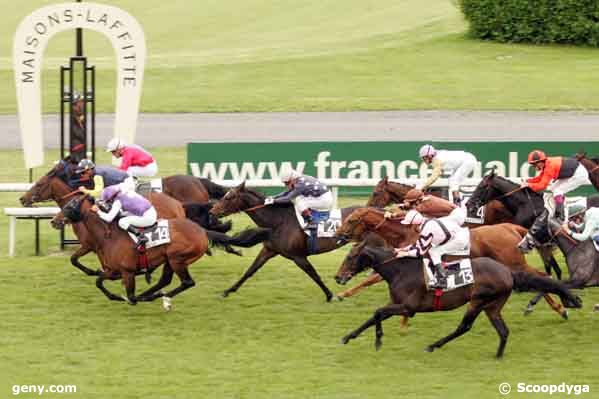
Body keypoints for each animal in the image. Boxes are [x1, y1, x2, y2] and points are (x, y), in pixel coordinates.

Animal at [19, 161, 185, 276]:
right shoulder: (97, 246)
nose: (22, 199)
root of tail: (177, 204)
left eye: (39, 184)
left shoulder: (90, 245)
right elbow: (78, 260)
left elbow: (75, 259)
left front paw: (94, 272)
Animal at [211, 183, 360, 302]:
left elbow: (314, 275)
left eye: (228, 197)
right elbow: (250, 271)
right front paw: (227, 291)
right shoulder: (269, 250)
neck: (279, 221)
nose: (212, 211)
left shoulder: (298, 257)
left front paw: (330, 295)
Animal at [336, 208, 568, 320]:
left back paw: (557, 308)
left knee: (542, 275)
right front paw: (343, 292)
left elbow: (370, 279)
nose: (338, 235)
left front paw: (342, 293)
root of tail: (511, 228)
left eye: (351, 220)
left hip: (514, 263)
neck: (407, 232)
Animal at [342, 244, 580, 360]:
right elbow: (375, 315)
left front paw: (378, 341)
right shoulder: (399, 306)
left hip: (477, 300)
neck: (400, 270)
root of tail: (508, 272)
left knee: (464, 326)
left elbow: (378, 312)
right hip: (492, 306)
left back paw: (433, 345)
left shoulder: (408, 308)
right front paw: (348, 337)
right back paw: (498, 356)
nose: (339, 276)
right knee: (503, 331)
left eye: (350, 258)